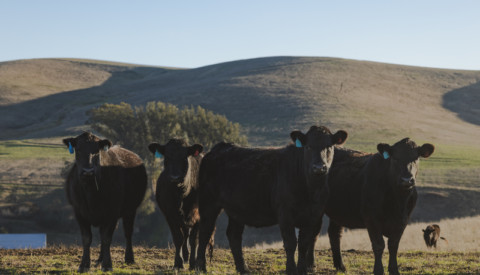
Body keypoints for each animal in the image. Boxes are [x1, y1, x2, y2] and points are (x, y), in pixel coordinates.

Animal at [62, 132, 147, 274]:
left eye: (97, 151)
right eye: (78, 150)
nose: (88, 171)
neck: (91, 191)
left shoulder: (113, 212)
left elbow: (107, 238)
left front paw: (107, 265)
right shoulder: (79, 212)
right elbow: (87, 238)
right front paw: (84, 265)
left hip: (130, 210)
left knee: (128, 233)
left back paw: (129, 258)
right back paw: (100, 260)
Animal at [146, 139, 214, 270]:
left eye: (183, 158)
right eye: (167, 157)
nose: (174, 177)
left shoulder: (199, 215)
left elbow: (194, 240)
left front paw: (193, 263)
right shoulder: (169, 214)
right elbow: (178, 238)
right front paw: (178, 263)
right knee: (185, 234)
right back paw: (185, 256)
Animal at [195, 126, 348, 274]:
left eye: (329, 146)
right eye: (308, 146)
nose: (319, 167)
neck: (312, 191)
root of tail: (219, 148)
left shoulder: (312, 215)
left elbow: (304, 243)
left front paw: (303, 269)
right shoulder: (285, 214)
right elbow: (291, 243)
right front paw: (291, 269)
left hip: (236, 209)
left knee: (233, 234)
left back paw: (243, 268)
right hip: (208, 202)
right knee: (204, 231)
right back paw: (200, 267)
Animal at [312, 139, 436, 275]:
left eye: (416, 158)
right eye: (395, 158)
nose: (407, 180)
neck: (398, 201)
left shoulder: (403, 220)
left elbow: (393, 245)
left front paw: (394, 270)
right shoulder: (371, 218)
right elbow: (378, 244)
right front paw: (378, 270)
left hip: (339, 211)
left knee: (335, 233)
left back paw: (341, 266)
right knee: (314, 233)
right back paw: (311, 265)